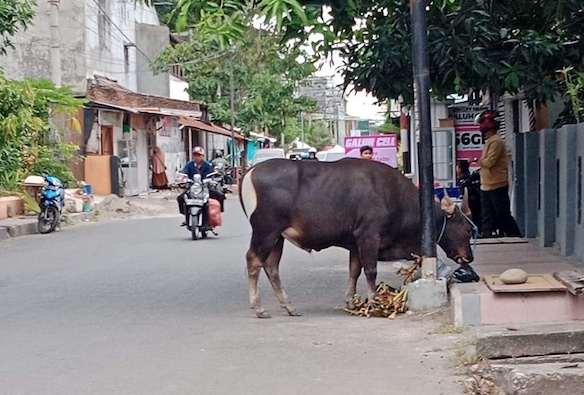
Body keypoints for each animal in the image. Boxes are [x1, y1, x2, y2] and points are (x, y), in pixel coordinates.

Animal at [240, 158, 472, 318]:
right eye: (467, 229)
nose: (469, 257)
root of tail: (250, 171)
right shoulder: (368, 236)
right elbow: (370, 271)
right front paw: (375, 302)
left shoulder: (355, 244)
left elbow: (354, 271)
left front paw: (351, 301)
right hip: (265, 232)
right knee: (253, 261)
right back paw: (258, 308)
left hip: (277, 237)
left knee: (271, 267)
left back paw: (289, 306)